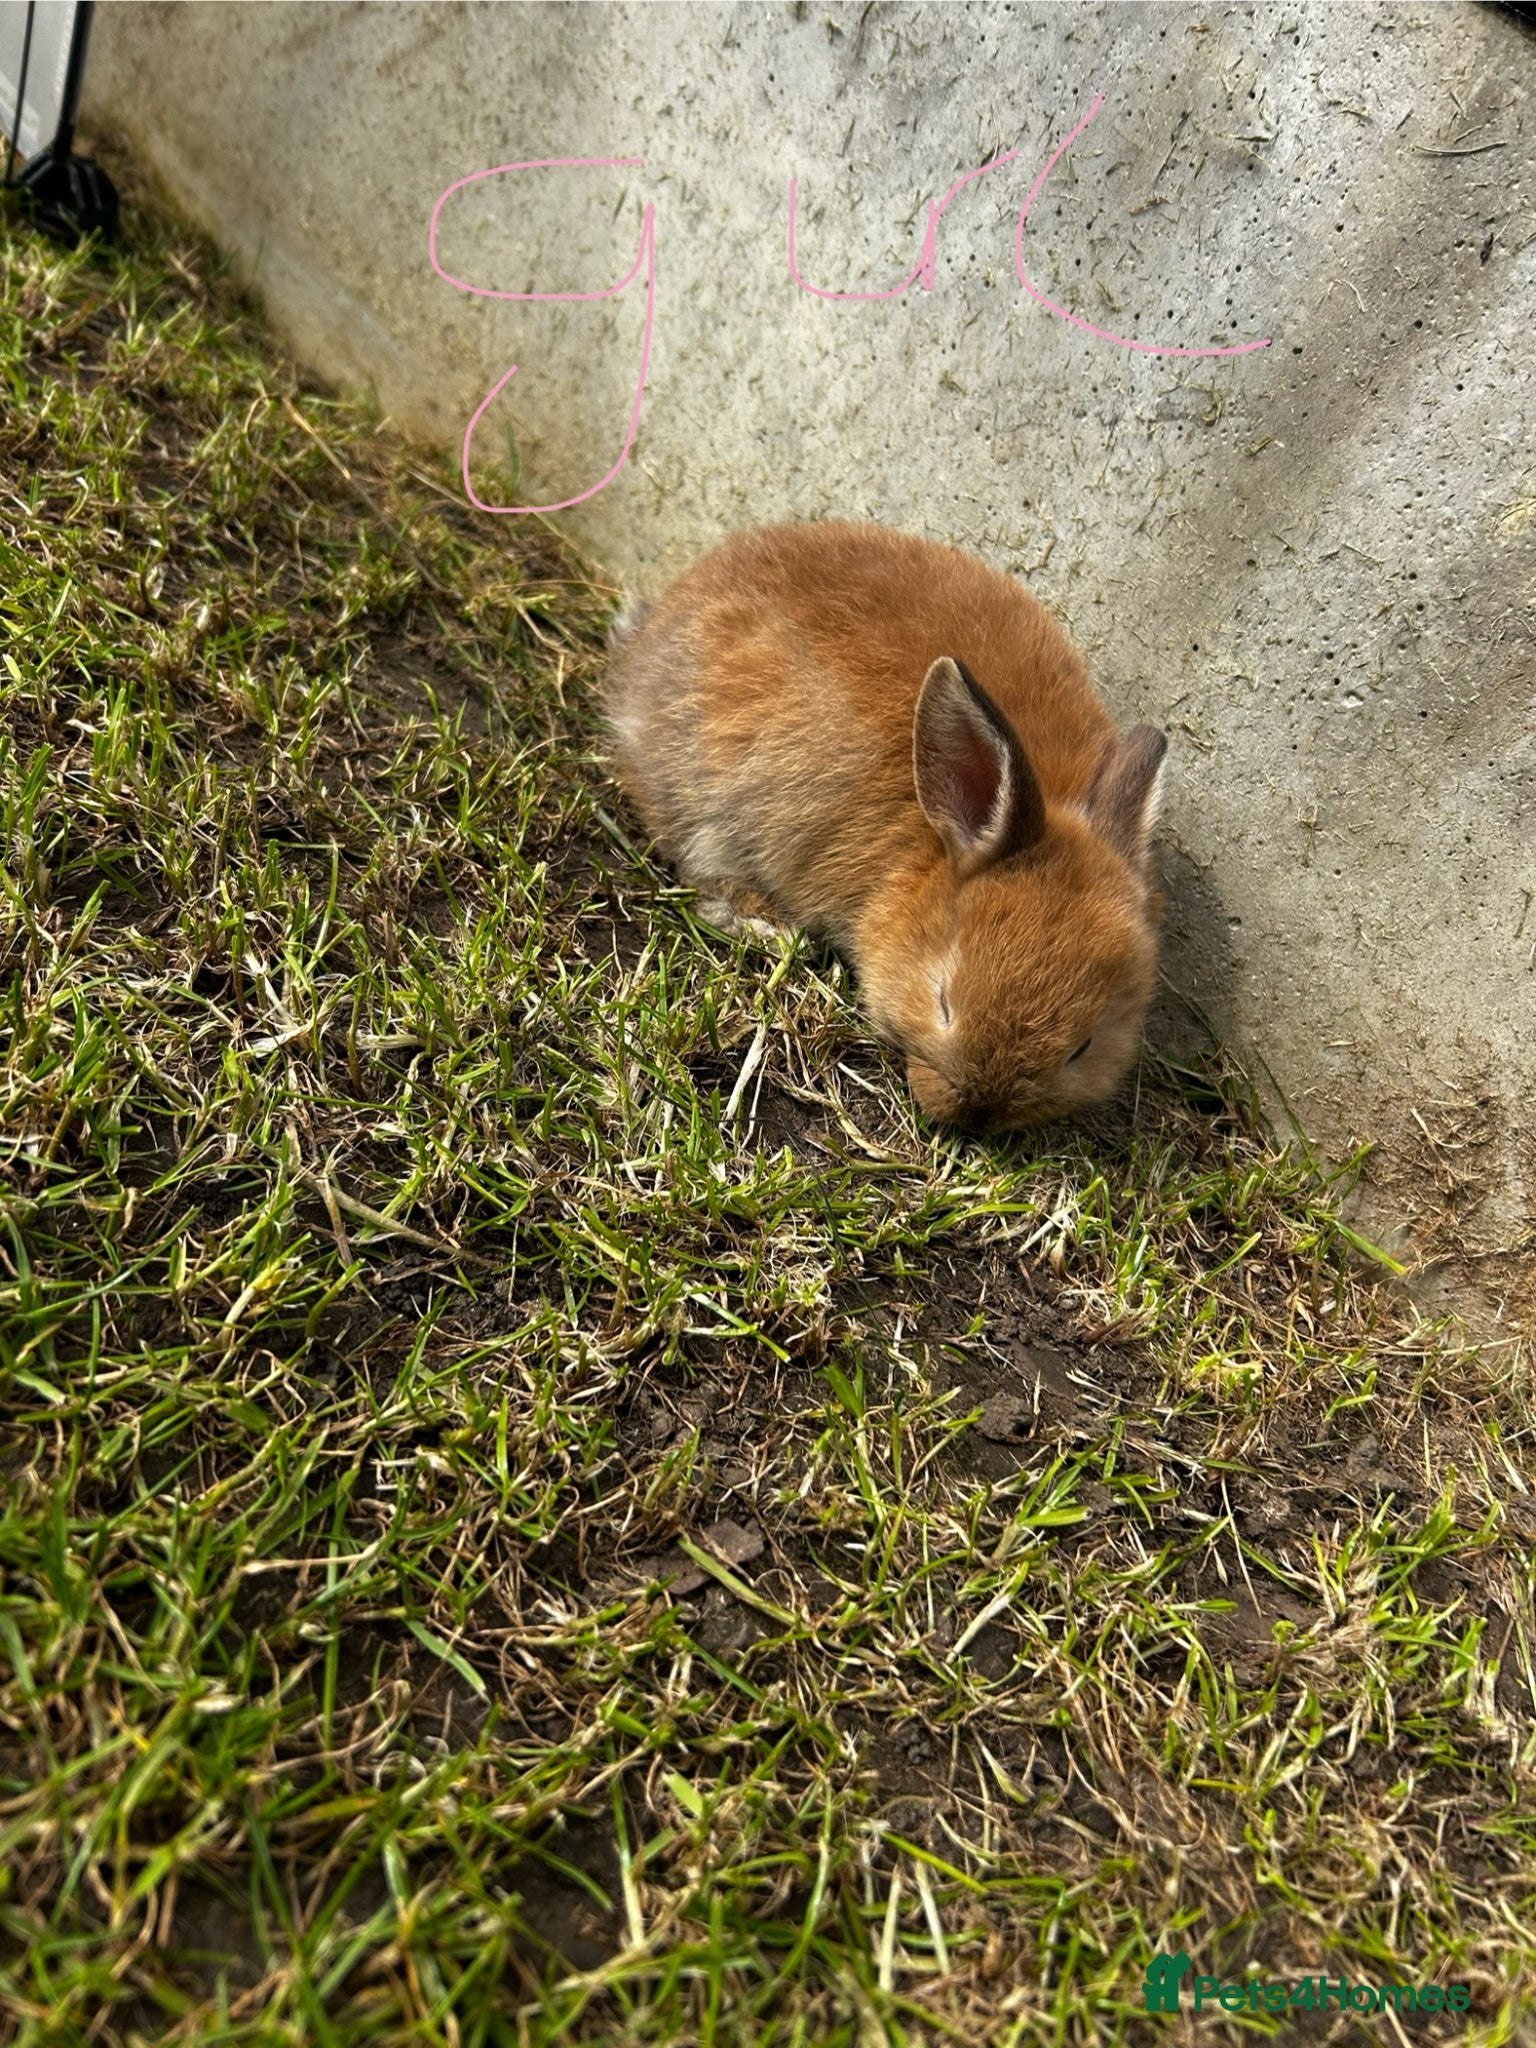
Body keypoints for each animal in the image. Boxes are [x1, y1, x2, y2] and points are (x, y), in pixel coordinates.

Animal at [603, 520, 1167, 1134]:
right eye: (944, 1002)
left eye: (1081, 1049)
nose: (977, 1116)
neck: (931, 854)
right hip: (715, 800)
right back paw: (767, 927)